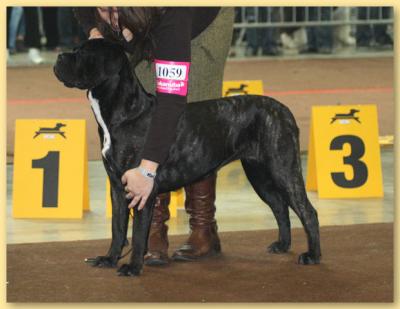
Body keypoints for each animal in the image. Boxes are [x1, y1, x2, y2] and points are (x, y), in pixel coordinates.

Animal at [54, 39, 322, 276]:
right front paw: (109, 259)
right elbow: (117, 228)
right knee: (279, 206)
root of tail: (285, 111)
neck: (125, 112)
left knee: (307, 211)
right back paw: (282, 245)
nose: (59, 57)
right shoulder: (118, 187)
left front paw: (133, 267)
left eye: (83, 53)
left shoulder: (143, 189)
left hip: (283, 169)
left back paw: (313, 256)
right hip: (259, 175)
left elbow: (138, 234)